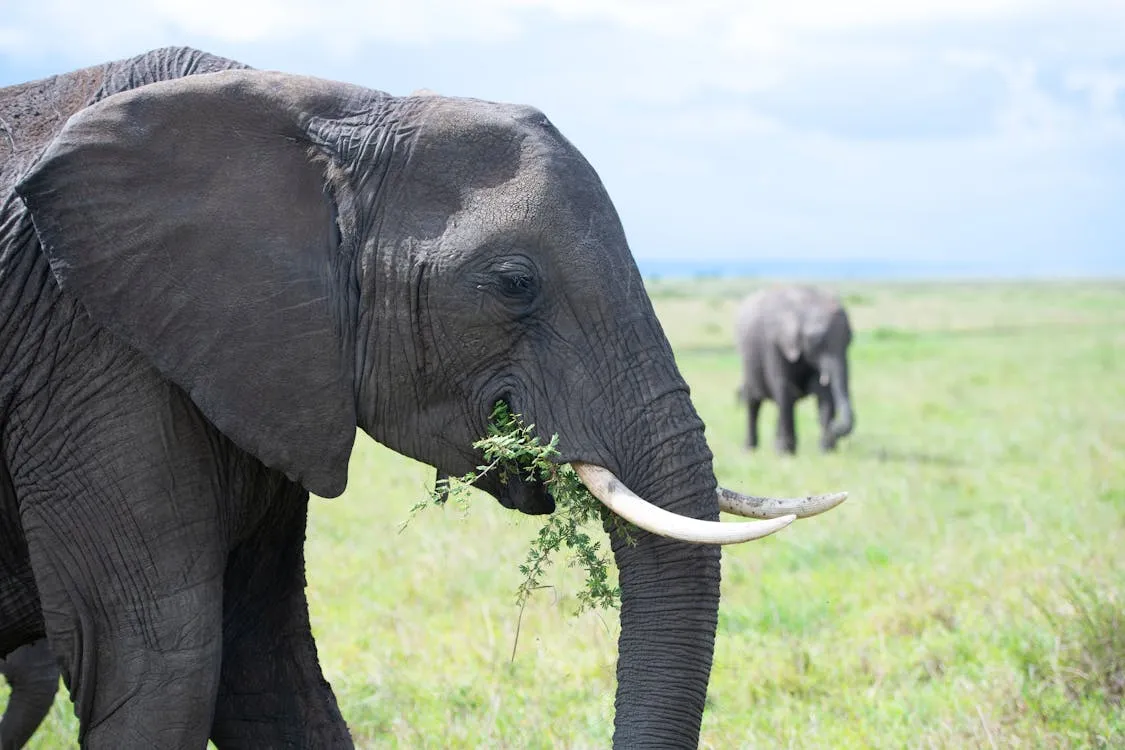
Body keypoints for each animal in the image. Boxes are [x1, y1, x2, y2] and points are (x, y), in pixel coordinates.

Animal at [733, 284, 855, 454]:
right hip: (748, 363)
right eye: (816, 342)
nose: (834, 427)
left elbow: (825, 394)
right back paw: (750, 450)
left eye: (850, 339)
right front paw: (786, 454)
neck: (804, 307)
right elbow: (784, 388)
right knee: (754, 401)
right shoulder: (775, 344)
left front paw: (826, 451)